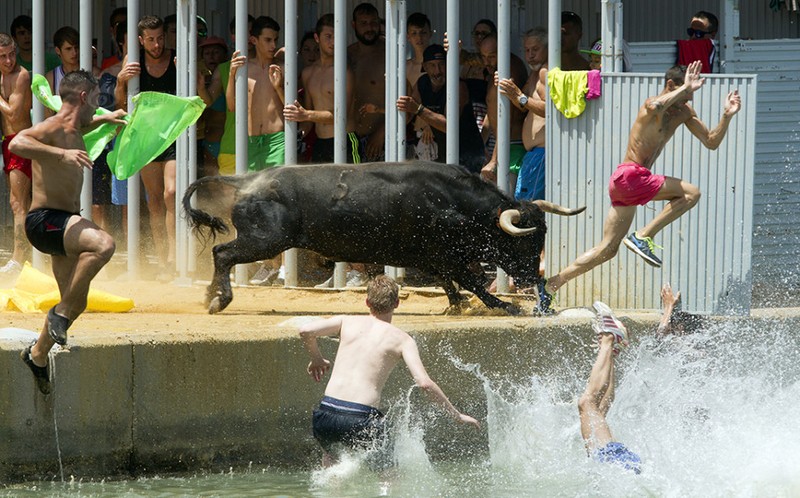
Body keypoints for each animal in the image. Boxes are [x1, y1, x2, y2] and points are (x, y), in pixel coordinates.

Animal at [180, 160, 580, 316]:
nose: (532, 277)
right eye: (523, 239)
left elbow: (455, 282)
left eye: (543, 234)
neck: (452, 201)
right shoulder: (440, 254)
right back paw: (219, 300)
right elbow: (472, 280)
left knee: (221, 254)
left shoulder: (434, 258)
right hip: (265, 240)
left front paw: (457, 304)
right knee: (223, 254)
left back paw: (208, 296)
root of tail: (247, 180)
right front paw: (506, 306)